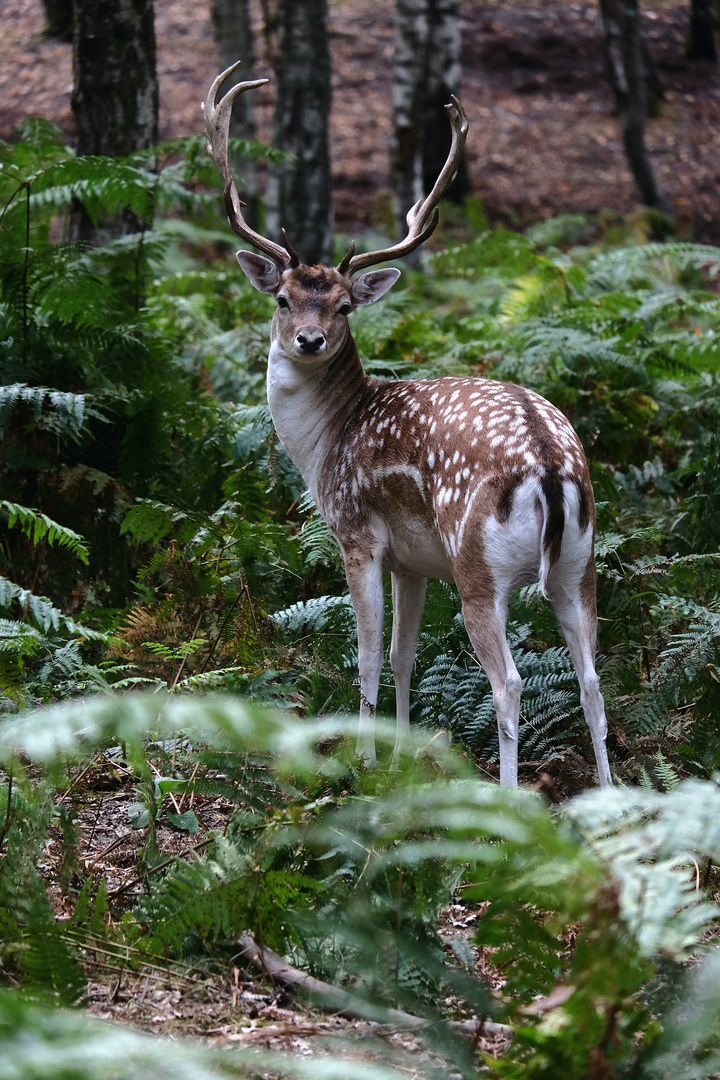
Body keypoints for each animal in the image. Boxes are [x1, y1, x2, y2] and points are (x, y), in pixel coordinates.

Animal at [204, 65, 613, 786]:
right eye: (282, 298)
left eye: (343, 305)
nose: (309, 340)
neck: (326, 444)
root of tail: (549, 463)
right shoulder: (413, 561)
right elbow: (403, 655)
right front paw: (399, 757)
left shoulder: (357, 533)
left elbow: (367, 655)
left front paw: (365, 762)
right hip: (577, 564)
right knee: (593, 680)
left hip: (480, 567)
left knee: (509, 684)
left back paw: (508, 798)